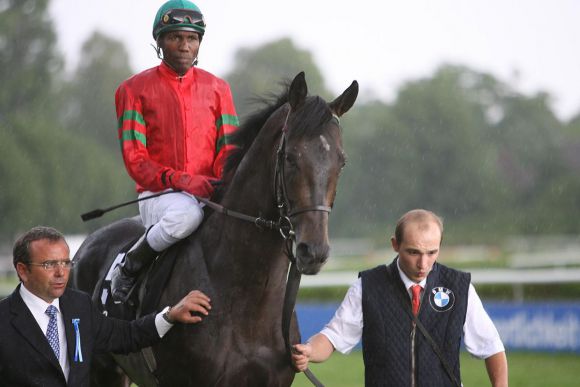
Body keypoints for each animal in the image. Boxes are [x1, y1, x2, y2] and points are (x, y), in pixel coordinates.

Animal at [71, 73, 358, 387]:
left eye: (341, 161)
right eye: (290, 157)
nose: (314, 251)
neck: (247, 301)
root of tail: (82, 248)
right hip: (99, 368)